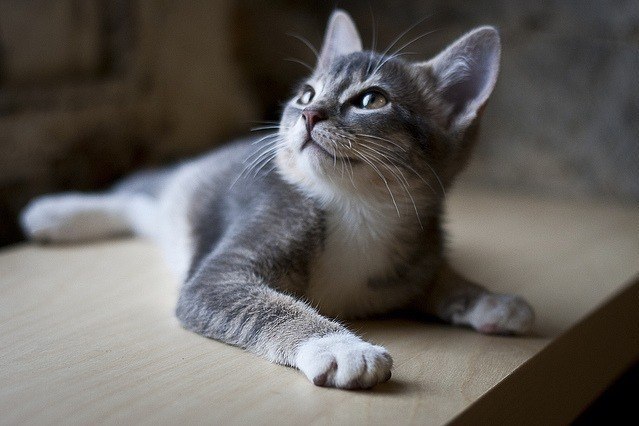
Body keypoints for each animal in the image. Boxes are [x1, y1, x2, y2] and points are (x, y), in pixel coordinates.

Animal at [20, 10, 534, 389]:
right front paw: (340, 345)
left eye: (372, 100)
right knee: (137, 194)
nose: (308, 113)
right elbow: (263, 303)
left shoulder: (417, 249)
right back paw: (55, 214)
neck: (358, 209)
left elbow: (438, 277)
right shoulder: (228, 264)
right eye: (306, 93)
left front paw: (489, 299)